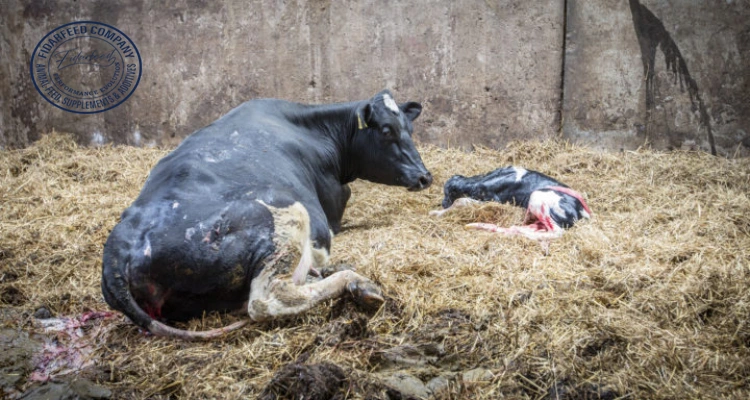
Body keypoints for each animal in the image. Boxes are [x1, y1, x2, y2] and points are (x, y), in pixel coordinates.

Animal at [101, 90, 432, 340]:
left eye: (410, 129)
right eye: (387, 131)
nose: (424, 176)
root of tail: (120, 245)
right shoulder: (332, 209)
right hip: (287, 219)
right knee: (266, 300)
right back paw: (355, 281)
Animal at [430, 166, 591, 246]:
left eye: (447, 193)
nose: (442, 203)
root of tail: (583, 211)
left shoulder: (493, 199)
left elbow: (461, 201)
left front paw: (436, 213)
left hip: (538, 197)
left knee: (556, 232)